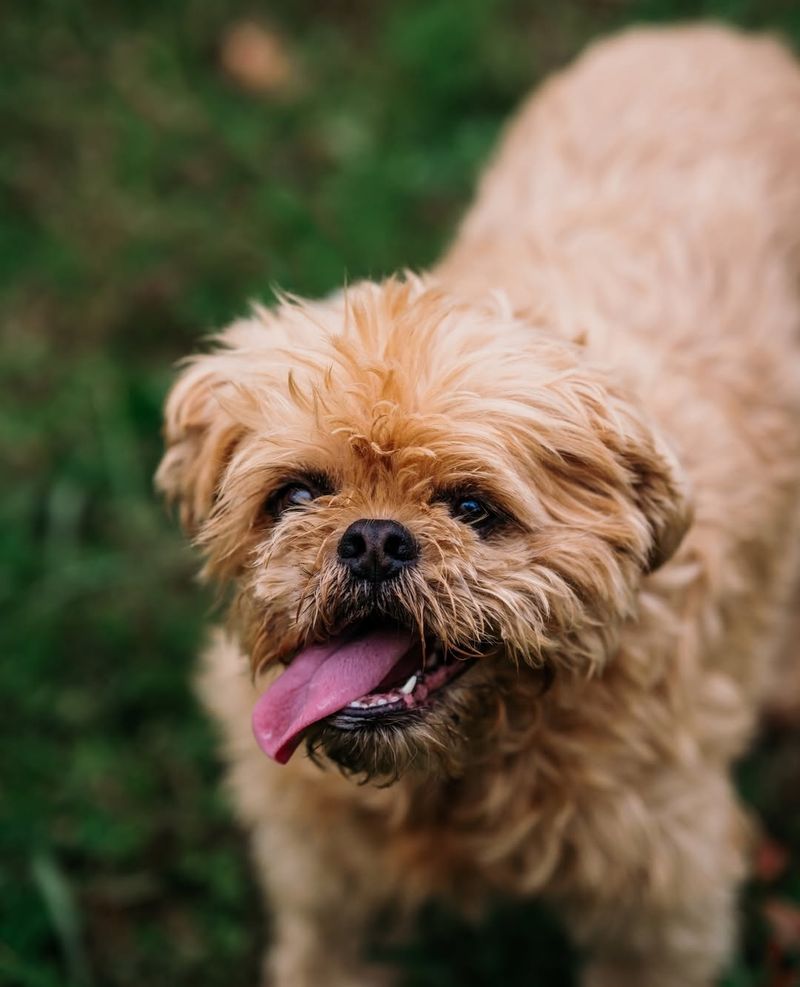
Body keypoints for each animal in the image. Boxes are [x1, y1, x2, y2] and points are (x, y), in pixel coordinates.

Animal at [156, 23, 800, 987]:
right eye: (296, 495)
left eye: (472, 507)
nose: (373, 539)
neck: (467, 770)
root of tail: (717, 34)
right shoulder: (326, 874)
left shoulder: (660, 899)